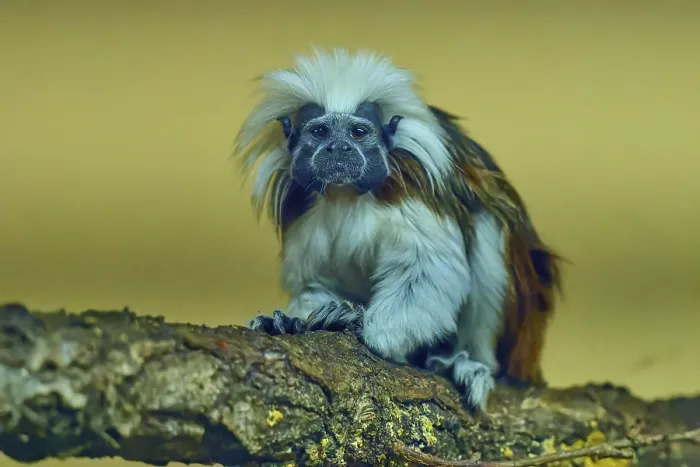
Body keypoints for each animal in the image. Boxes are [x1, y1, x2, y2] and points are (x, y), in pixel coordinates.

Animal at [232, 48, 563, 411]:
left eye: (358, 133)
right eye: (319, 133)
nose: (339, 149)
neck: (346, 194)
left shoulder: (413, 187)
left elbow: (428, 270)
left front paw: (356, 323)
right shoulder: (304, 208)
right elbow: (316, 281)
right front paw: (291, 322)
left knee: (488, 224)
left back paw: (466, 364)